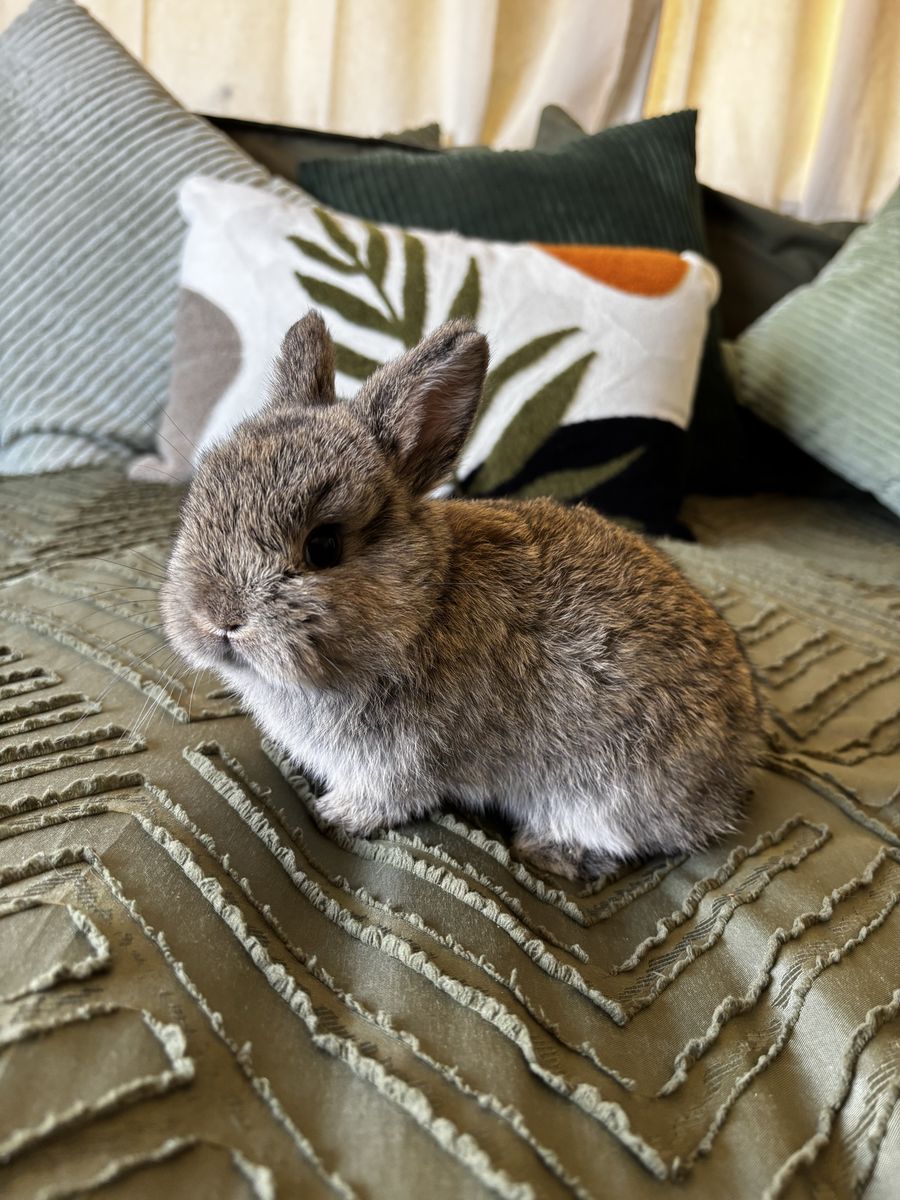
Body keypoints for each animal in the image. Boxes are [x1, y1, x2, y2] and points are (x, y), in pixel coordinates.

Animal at [162, 310, 764, 880]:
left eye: (324, 546)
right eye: (199, 497)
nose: (217, 618)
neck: (424, 606)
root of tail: (730, 777)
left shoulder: (402, 761)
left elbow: (387, 799)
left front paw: (334, 816)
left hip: (605, 789)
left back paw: (548, 850)